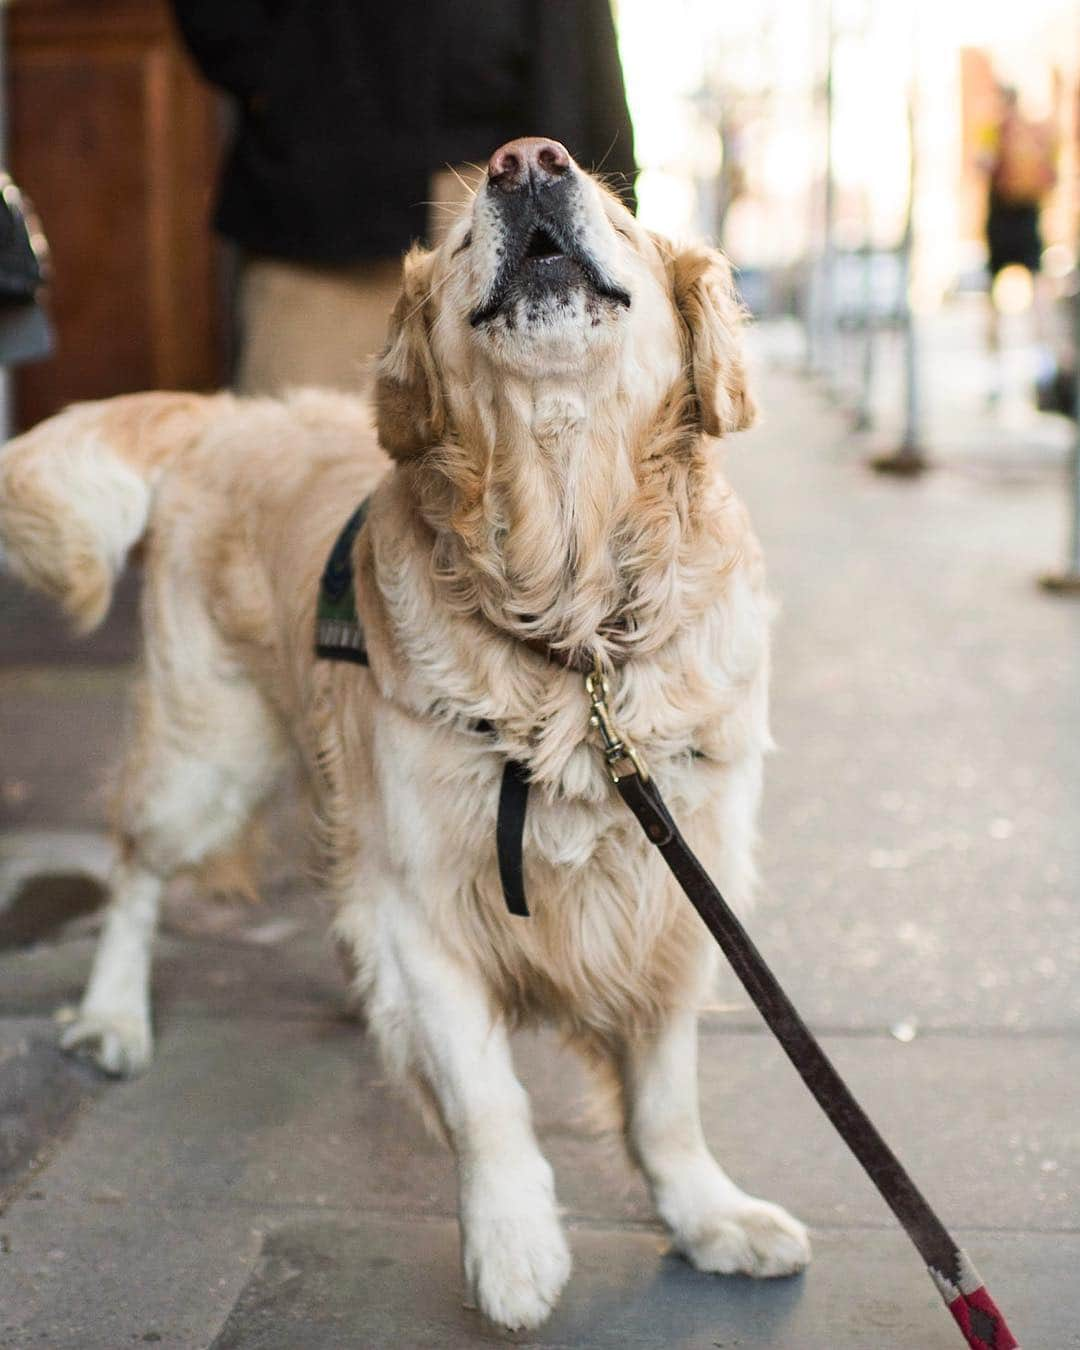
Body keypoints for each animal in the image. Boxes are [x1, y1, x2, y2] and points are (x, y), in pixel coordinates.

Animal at [0, 137, 810, 1328]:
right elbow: (485, 1096)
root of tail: (230, 415)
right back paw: (112, 1016)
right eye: (468, 224)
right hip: (207, 755)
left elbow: (665, 1097)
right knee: (135, 868)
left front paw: (706, 1214)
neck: (572, 637)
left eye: (619, 211)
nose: (528, 161)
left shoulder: (671, 894)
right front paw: (514, 1243)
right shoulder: (426, 900)